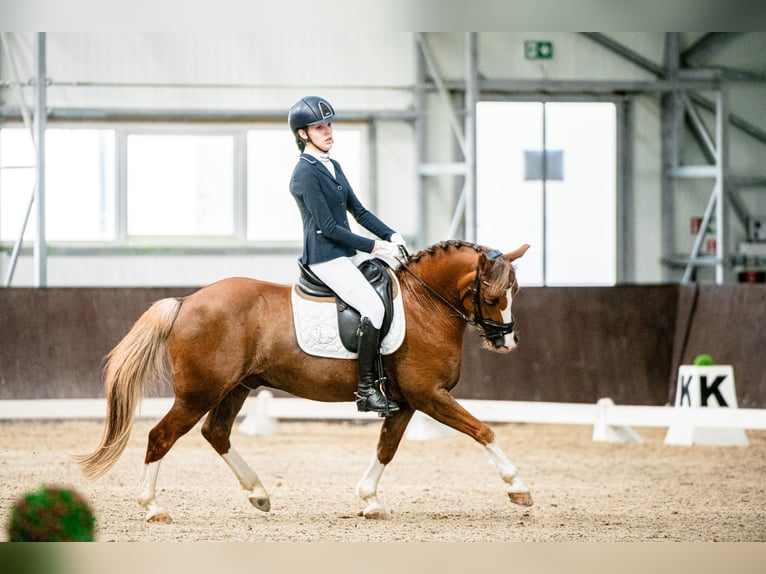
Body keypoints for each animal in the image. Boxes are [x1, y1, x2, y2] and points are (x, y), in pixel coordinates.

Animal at [78, 241, 536, 524]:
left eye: (515, 291)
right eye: (492, 297)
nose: (508, 342)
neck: (425, 304)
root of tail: (187, 301)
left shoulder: (406, 402)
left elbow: (386, 449)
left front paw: (369, 500)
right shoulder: (429, 396)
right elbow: (482, 430)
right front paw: (518, 488)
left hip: (236, 387)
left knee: (216, 433)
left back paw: (258, 493)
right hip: (198, 392)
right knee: (161, 437)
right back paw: (153, 507)